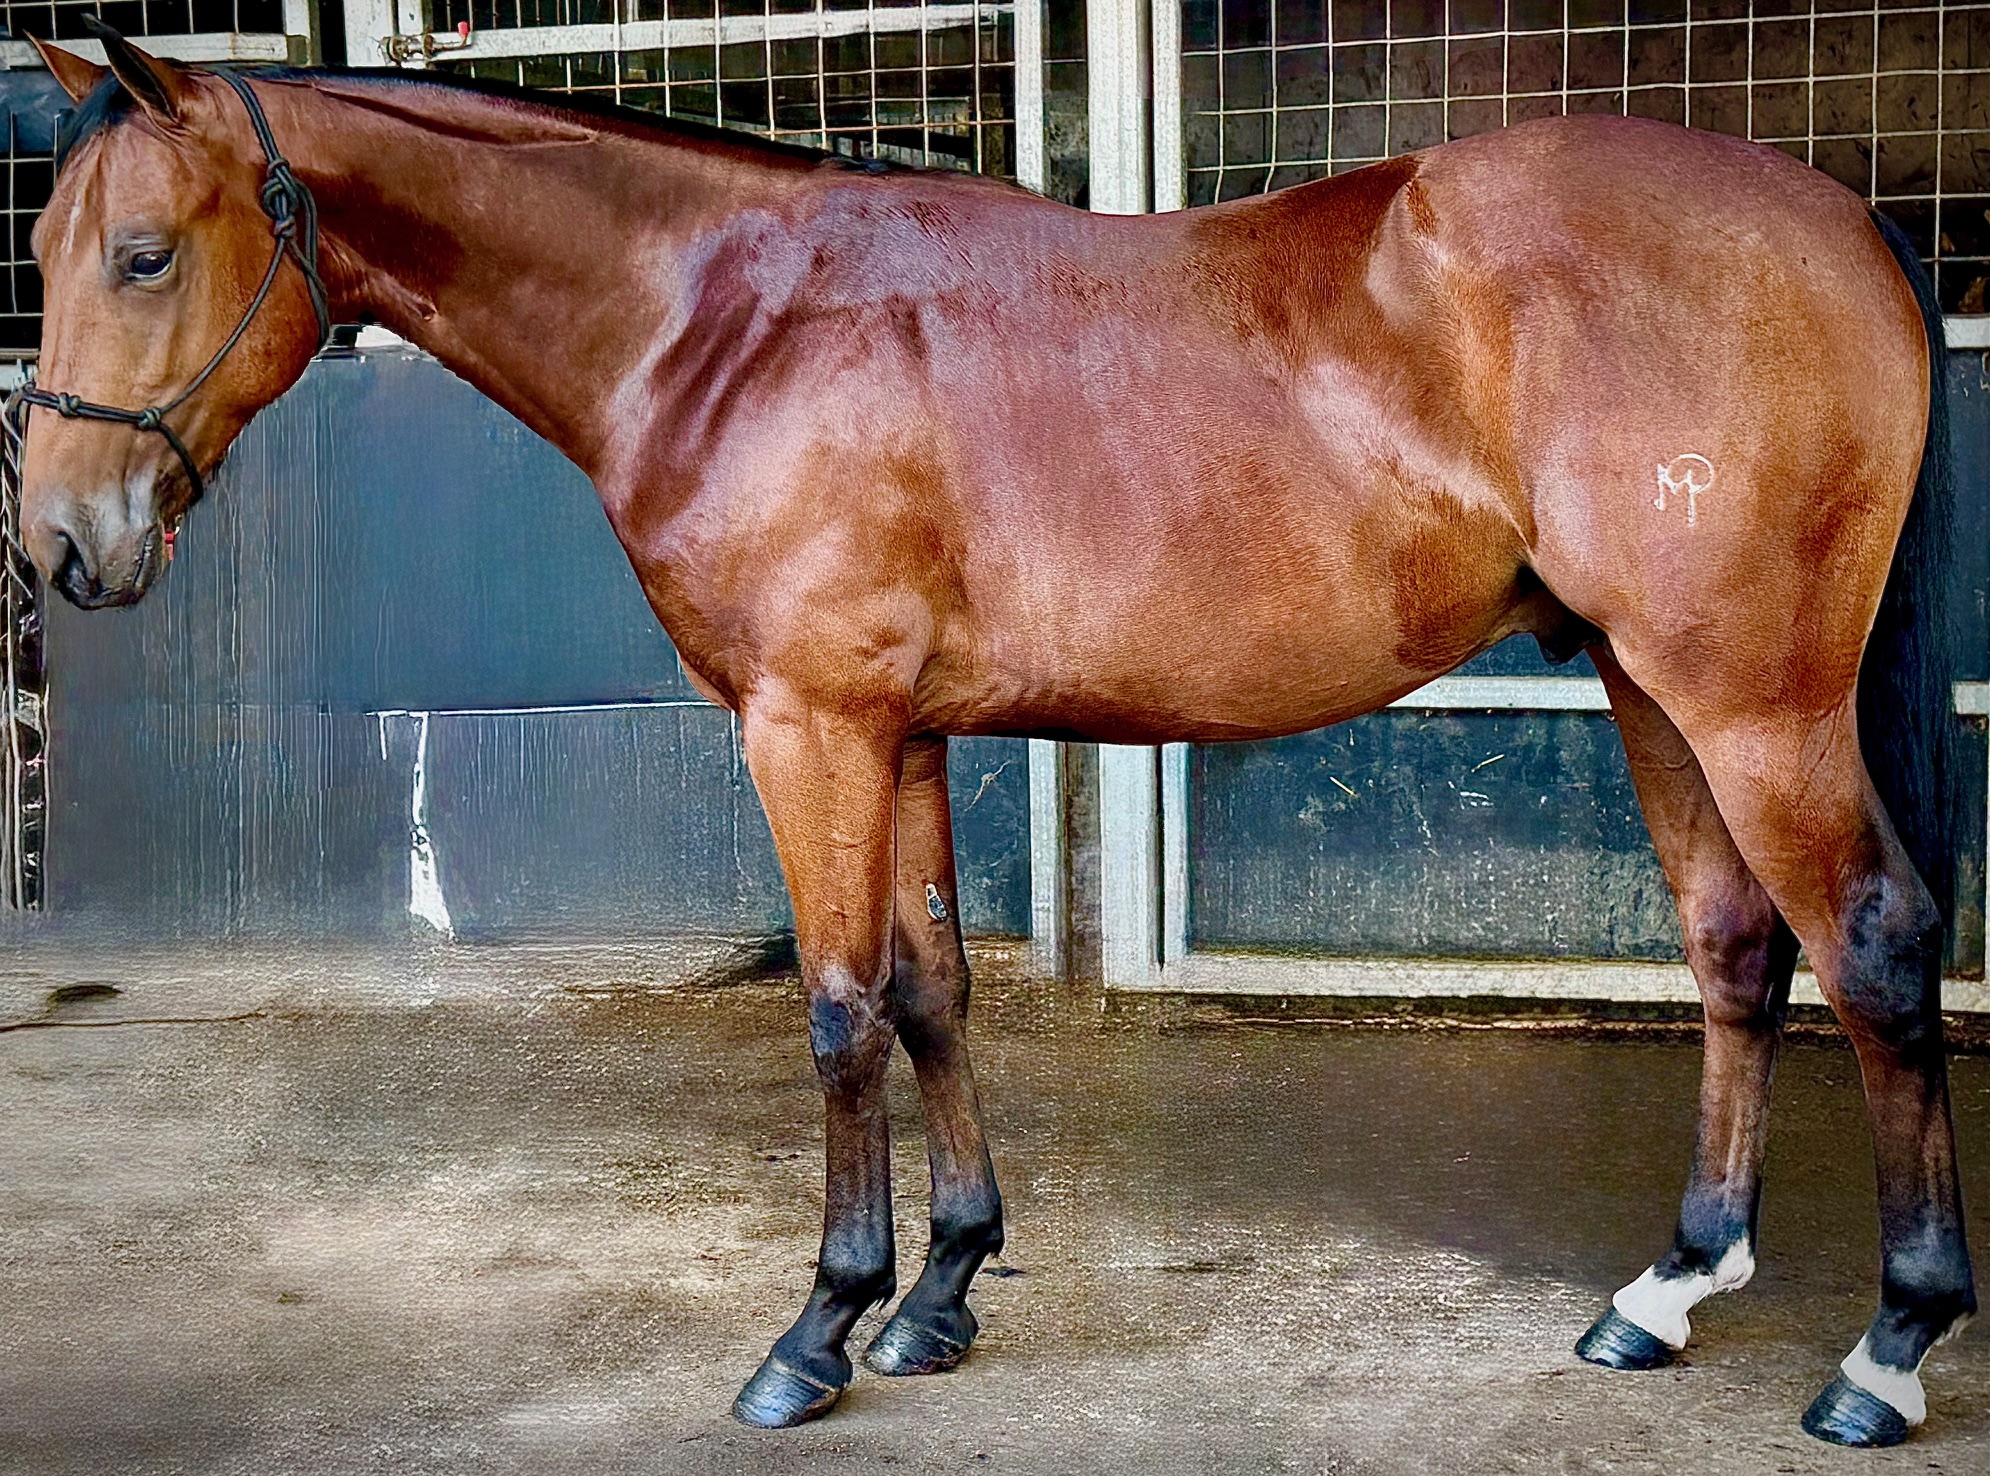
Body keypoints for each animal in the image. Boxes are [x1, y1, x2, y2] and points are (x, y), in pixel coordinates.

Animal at [16, 23, 1973, 1448]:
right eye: (39, 247)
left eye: (143, 254)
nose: (58, 548)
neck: (729, 320)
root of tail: (1837, 217)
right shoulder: (900, 733)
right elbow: (935, 985)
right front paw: (942, 1293)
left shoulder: (807, 724)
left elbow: (835, 1011)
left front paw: (815, 1328)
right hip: (1650, 682)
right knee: (1736, 948)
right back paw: (1665, 1294)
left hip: (1748, 696)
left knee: (1870, 943)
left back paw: (1883, 1353)